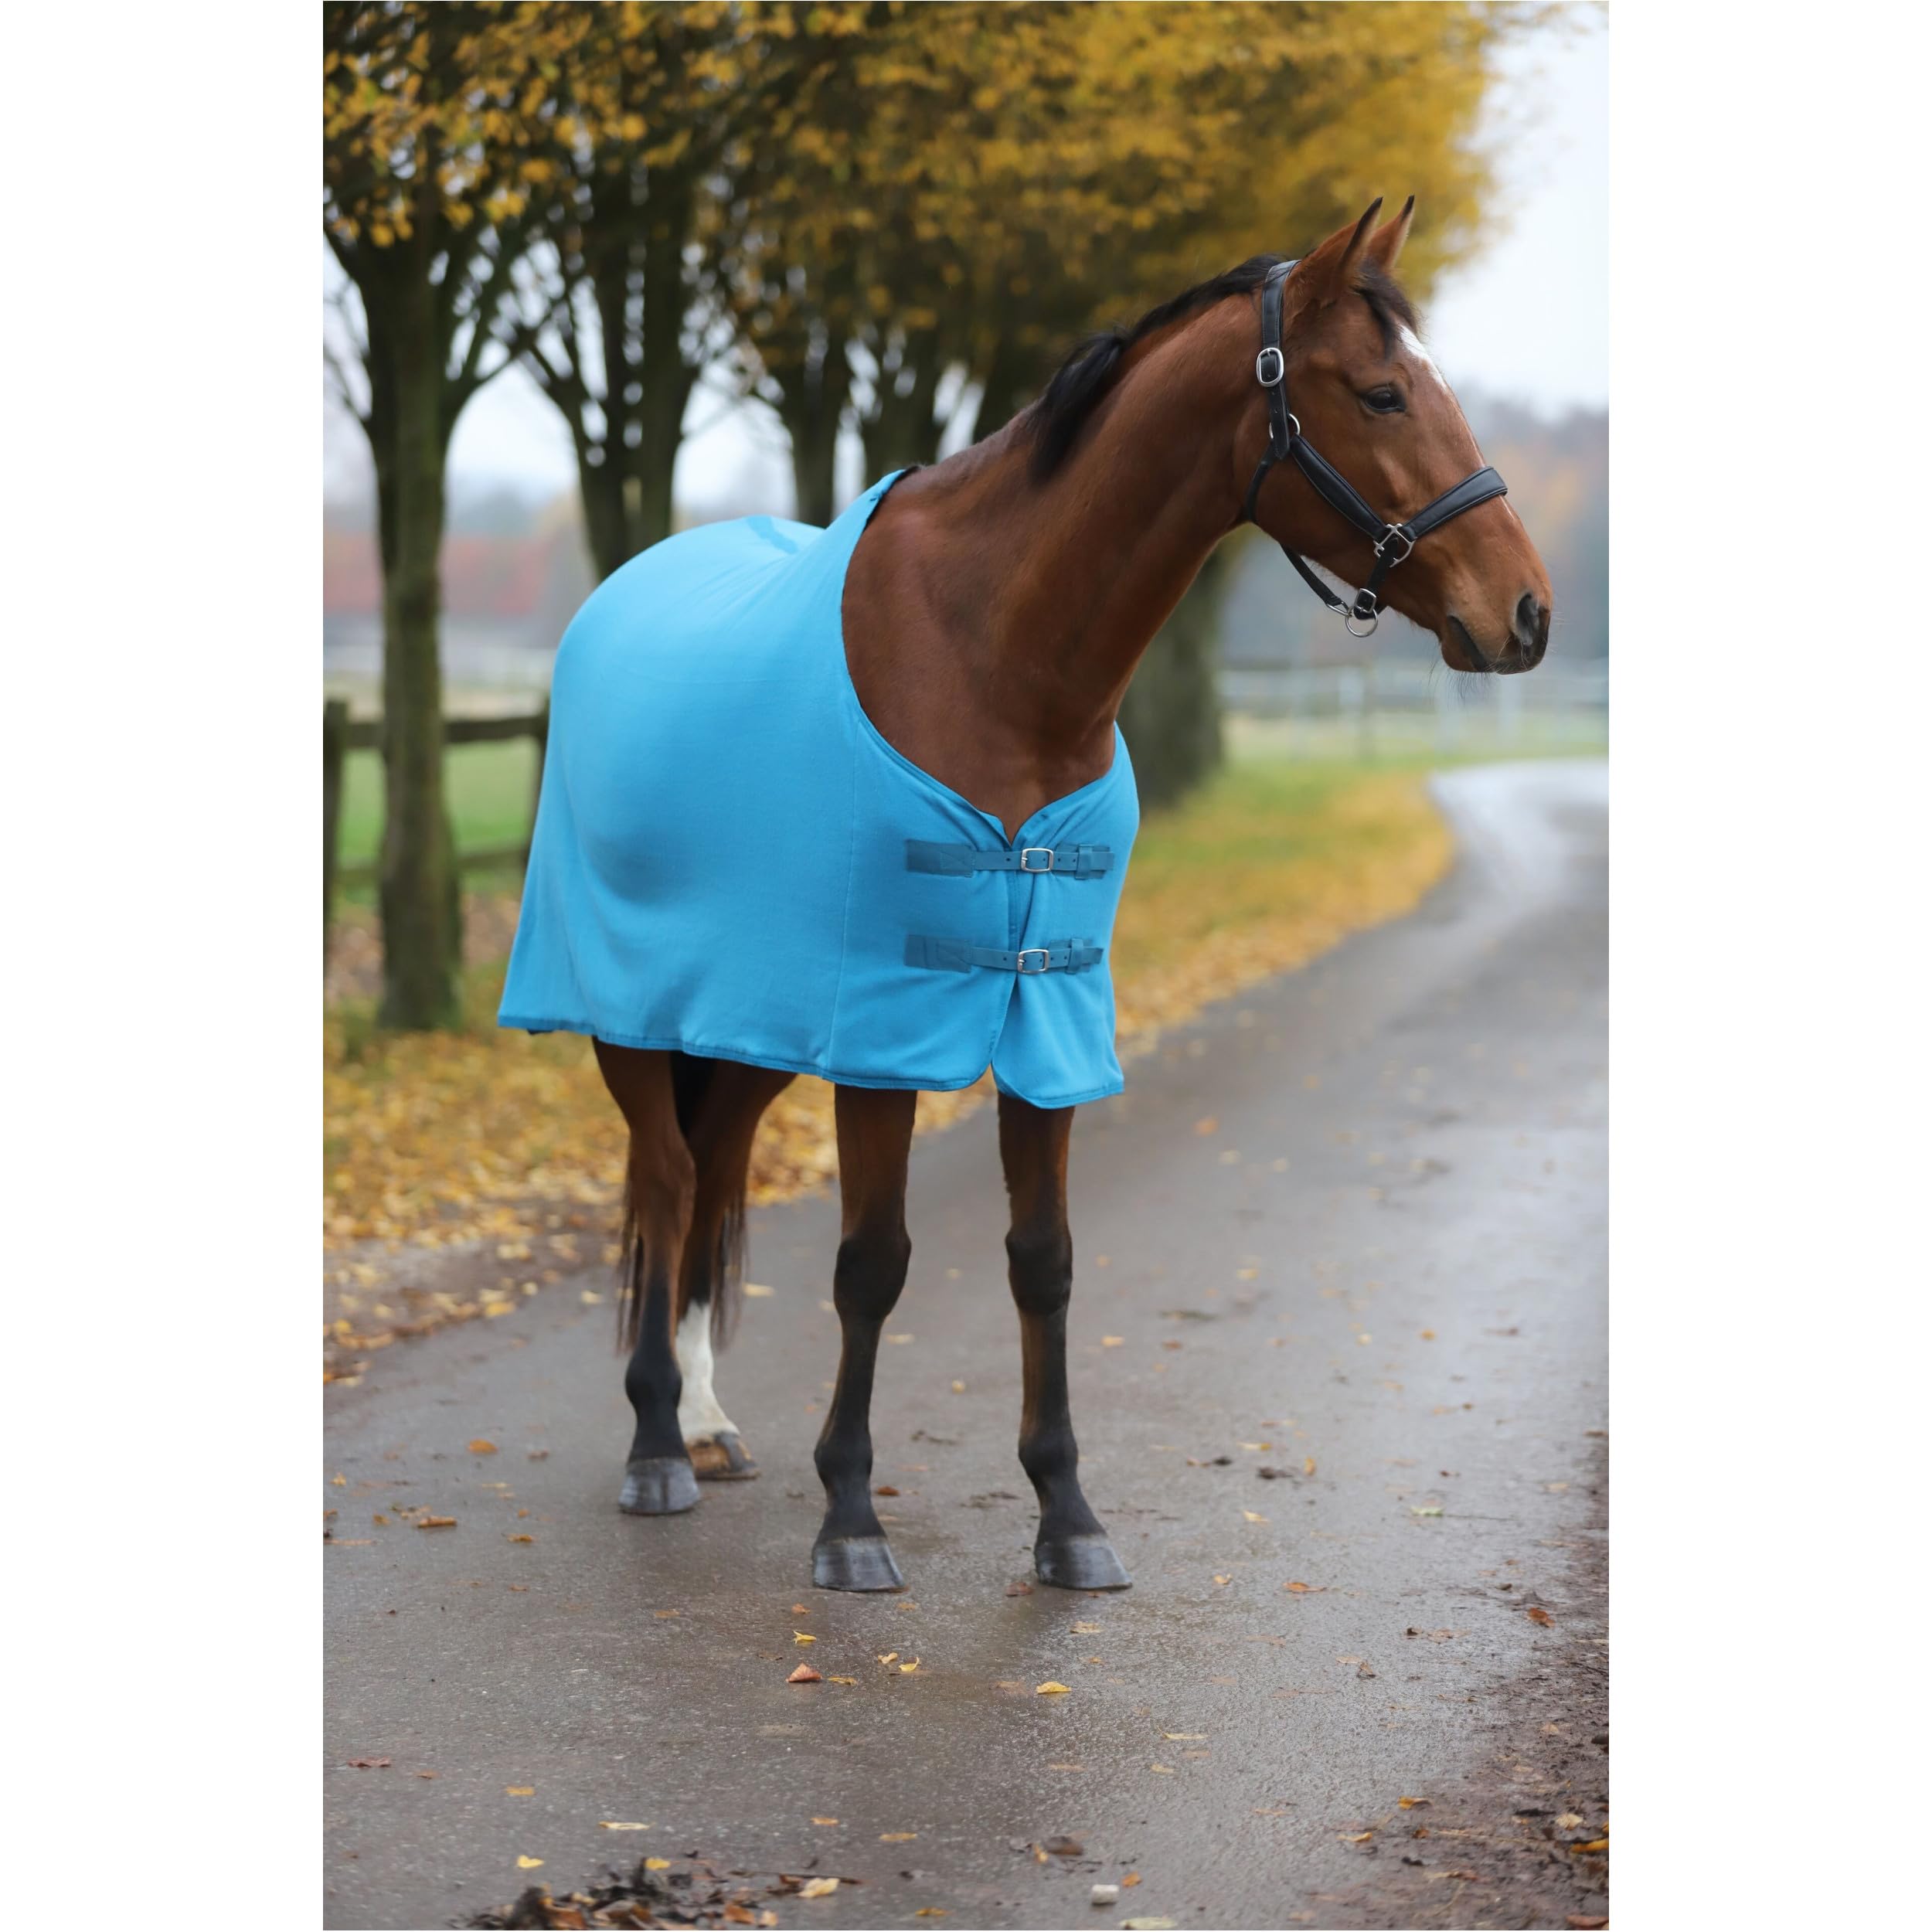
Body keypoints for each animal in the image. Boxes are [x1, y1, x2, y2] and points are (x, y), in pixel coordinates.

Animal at [500, 198, 1553, 1594]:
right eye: (1382, 392)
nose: (1528, 614)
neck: (989, 649)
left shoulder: (1044, 1012)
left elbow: (1043, 1264)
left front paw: (1069, 1518)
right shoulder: (883, 1025)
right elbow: (873, 1265)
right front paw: (852, 1522)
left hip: (749, 1026)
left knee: (712, 1169)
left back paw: (713, 1425)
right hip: (631, 1013)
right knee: (670, 1180)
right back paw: (660, 1443)